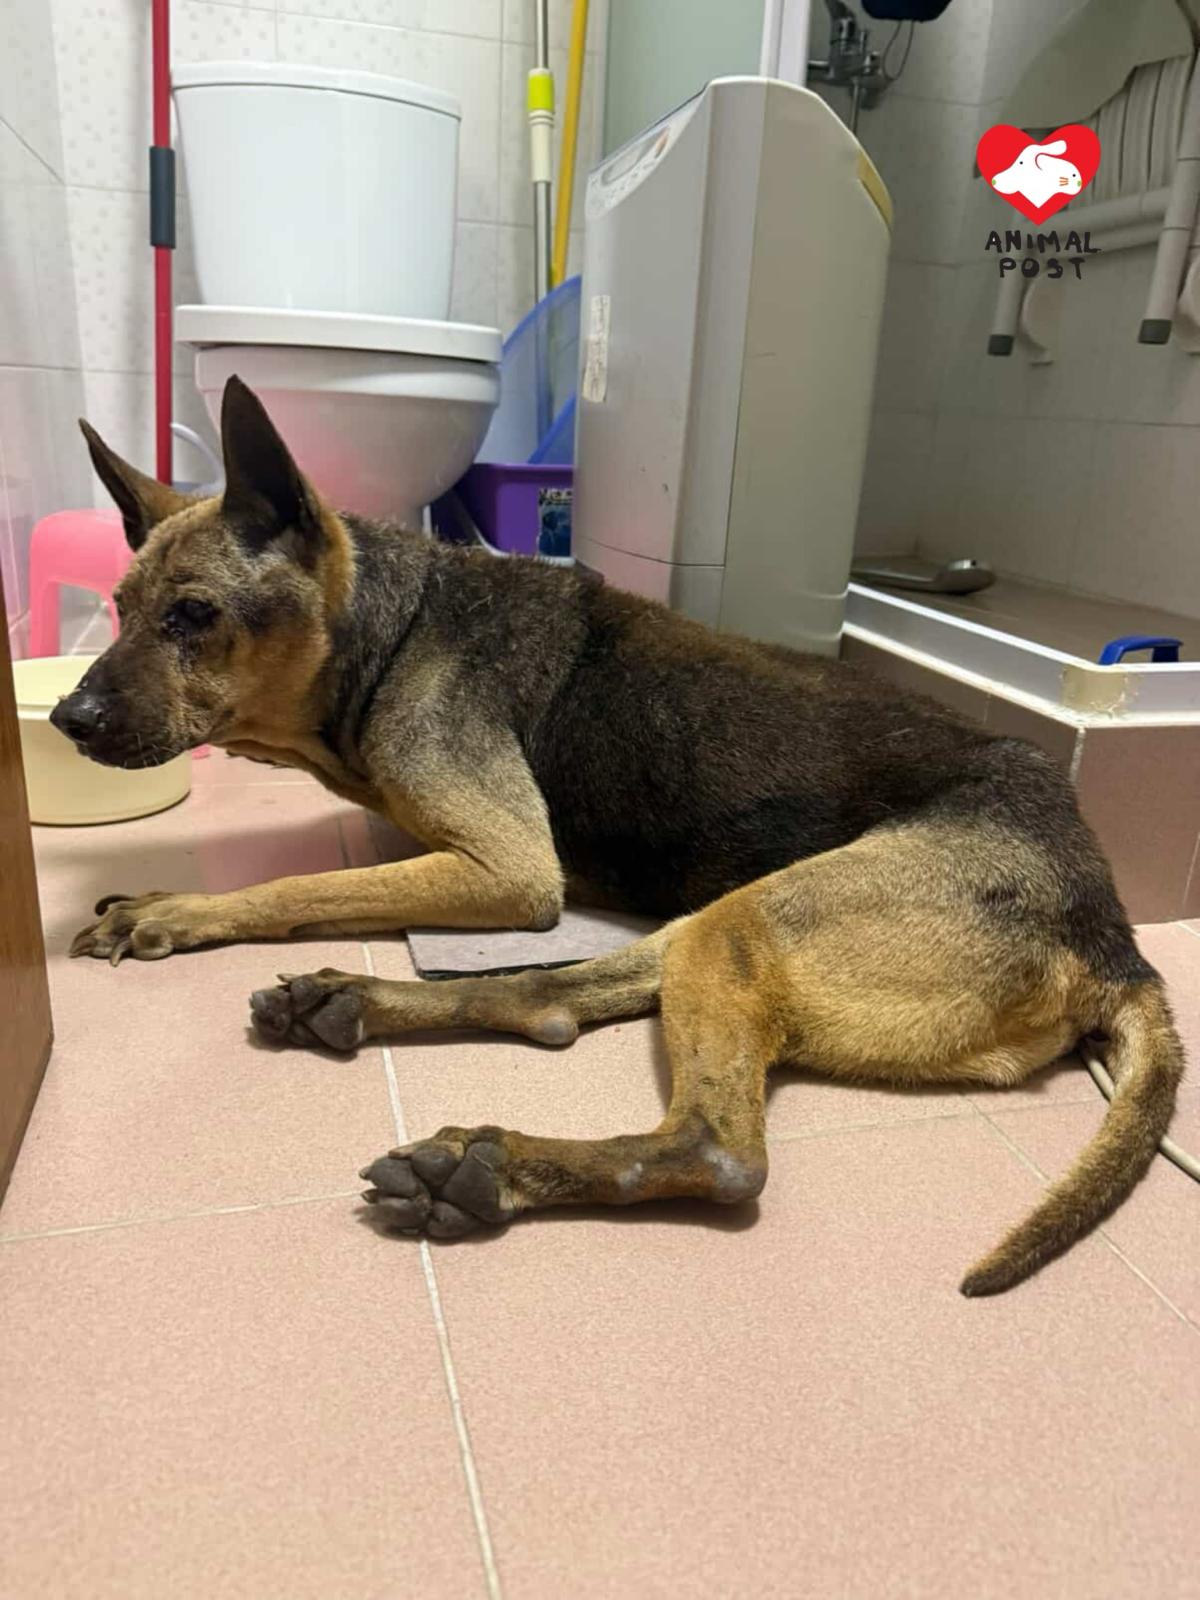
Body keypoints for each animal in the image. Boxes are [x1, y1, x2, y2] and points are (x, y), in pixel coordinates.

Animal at [56, 376, 1183, 1295]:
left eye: (194, 614)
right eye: (117, 608)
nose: (67, 718)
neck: (392, 624)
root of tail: (1116, 940)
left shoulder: (509, 871)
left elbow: (292, 889)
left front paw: (173, 908)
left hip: (751, 920)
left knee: (717, 1154)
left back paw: (489, 1168)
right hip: (718, 927)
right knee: (548, 1000)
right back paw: (360, 1005)